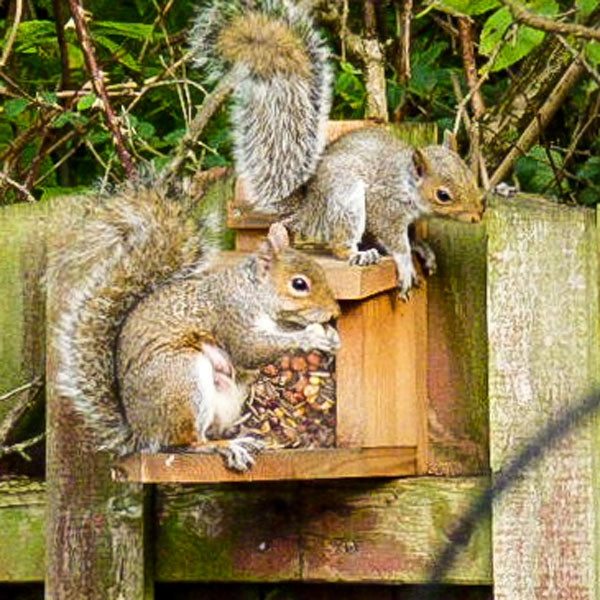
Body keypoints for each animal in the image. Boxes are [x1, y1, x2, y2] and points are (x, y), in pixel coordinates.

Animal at [47, 185, 340, 472]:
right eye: (299, 284)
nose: (335, 311)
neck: (253, 293)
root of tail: (141, 432)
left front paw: (331, 335)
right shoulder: (230, 315)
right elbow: (249, 350)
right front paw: (311, 336)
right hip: (182, 377)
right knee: (187, 442)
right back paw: (227, 447)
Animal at [191, 0, 482, 298]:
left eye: (471, 179)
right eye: (443, 195)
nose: (476, 216)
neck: (408, 183)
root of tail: (308, 209)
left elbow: (411, 237)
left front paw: (422, 250)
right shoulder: (385, 205)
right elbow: (395, 239)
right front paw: (405, 264)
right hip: (345, 200)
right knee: (339, 244)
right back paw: (358, 254)